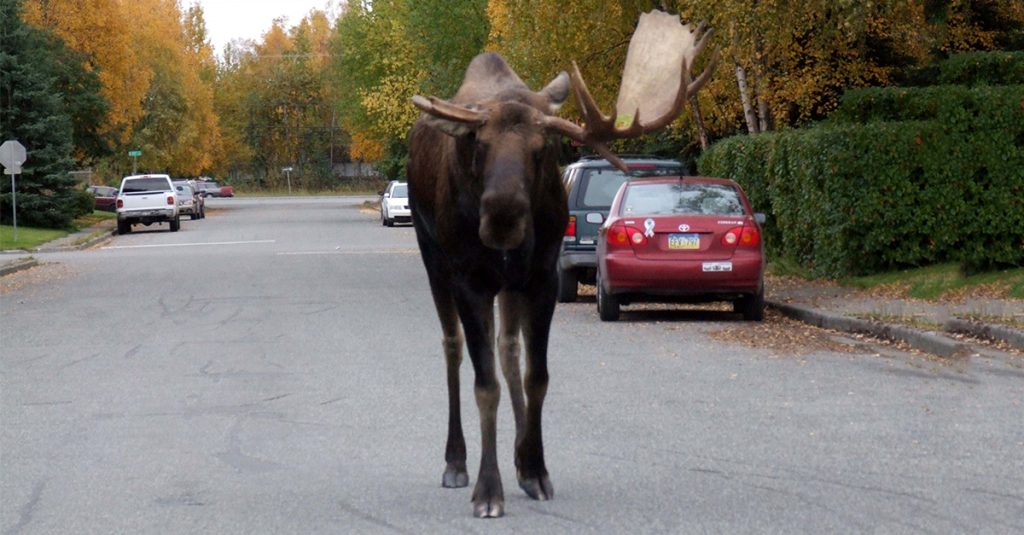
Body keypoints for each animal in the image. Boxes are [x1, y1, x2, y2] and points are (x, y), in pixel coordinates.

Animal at [405, 10, 718, 518]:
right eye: (479, 144)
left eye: (542, 148)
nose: (503, 217)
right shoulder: (471, 280)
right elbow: (484, 385)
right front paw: (488, 490)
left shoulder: (540, 279)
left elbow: (537, 376)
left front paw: (535, 468)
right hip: (433, 258)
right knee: (452, 347)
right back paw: (455, 461)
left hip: (509, 283)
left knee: (508, 349)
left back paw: (517, 458)